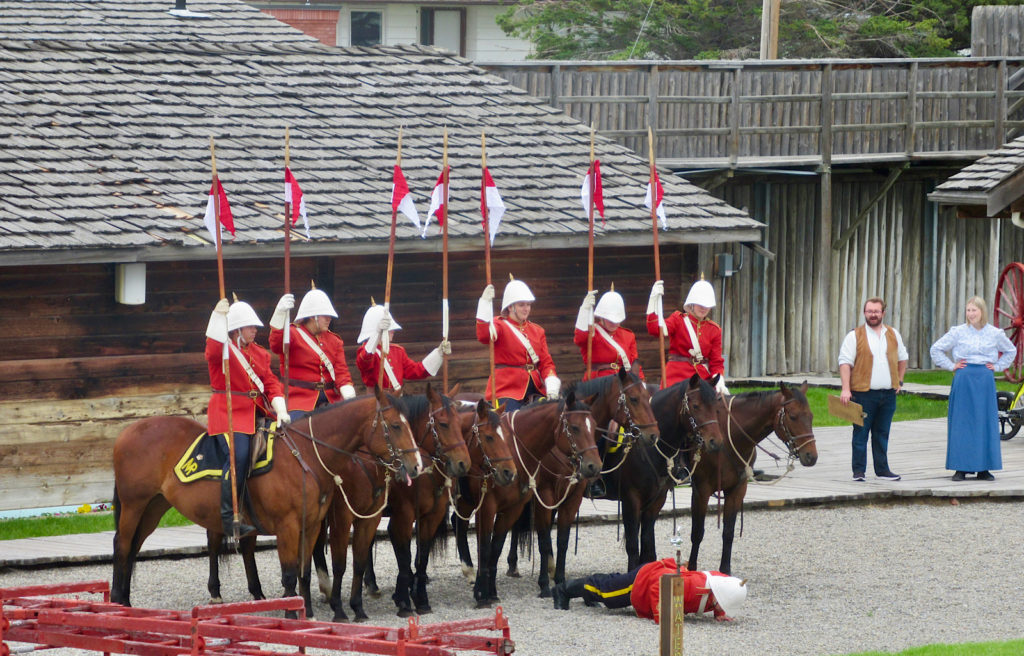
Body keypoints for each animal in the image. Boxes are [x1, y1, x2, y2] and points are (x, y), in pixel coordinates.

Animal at [109, 384, 419, 614]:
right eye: (395, 425)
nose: (416, 466)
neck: (307, 453)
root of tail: (128, 431)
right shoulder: (290, 526)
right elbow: (291, 572)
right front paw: (293, 612)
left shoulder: (312, 525)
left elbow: (305, 571)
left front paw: (306, 611)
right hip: (135, 505)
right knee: (122, 545)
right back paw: (118, 601)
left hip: (154, 506)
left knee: (134, 546)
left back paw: (126, 599)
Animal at [454, 388, 598, 609]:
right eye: (575, 427)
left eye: (594, 426)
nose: (594, 466)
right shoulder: (495, 505)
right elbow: (488, 547)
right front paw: (482, 593)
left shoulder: (553, 502)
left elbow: (498, 547)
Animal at [505, 366, 663, 597]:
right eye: (633, 398)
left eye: (648, 397)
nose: (652, 435)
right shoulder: (545, 493)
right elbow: (543, 539)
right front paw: (544, 585)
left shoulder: (573, 494)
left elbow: (562, 540)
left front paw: (559, 580)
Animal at [684, 384, 819, 573]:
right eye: (793, 416)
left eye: (811, 416)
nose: (811, 456)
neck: (728, 435)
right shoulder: (701, 490)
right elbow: (697, 532)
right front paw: (691, 570)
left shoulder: (737, 489)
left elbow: (728, 532)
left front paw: (725, 572)